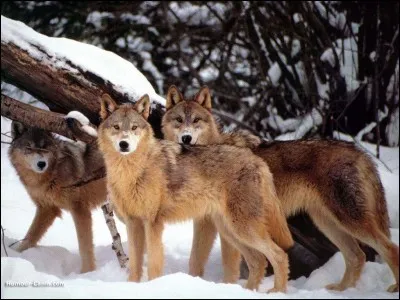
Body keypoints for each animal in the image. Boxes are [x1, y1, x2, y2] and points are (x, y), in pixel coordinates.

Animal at [8, 120, 108, 274]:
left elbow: (84, 246)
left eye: (44, 148)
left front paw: (87, 272)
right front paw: (15, 254)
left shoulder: (80, 210)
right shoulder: (47, 209)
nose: (41, 164)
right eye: (29, 148)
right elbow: (30, 236)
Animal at [96, 92, 294, 292]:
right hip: (230, 230)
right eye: (116, 127)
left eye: (134, 127)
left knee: (279, 255)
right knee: (258, 261)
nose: (124, 144)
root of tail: (257, 160)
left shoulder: (153, 223)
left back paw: (277, 291)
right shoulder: (133, 223)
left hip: (242, 228)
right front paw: (132, 287)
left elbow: (153, 264)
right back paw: (247, 291)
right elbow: (134, 267)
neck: (132, 173)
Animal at [161, 85, 398, 292]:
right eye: (179, 120)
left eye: (196, 120)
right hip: (327, 223)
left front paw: (228, 287)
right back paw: (340, 290)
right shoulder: (207, 223)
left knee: (388, 248)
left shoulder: (221, 228)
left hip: (349, 221)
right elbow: (195, 260)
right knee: (357, 256)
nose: (186, 138)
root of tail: (359, 152)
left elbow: (229, 266)